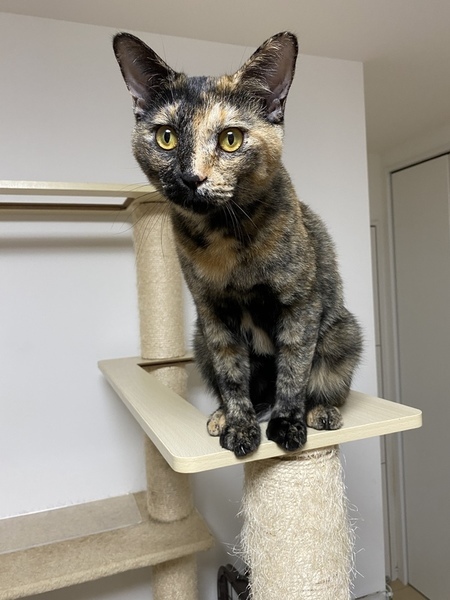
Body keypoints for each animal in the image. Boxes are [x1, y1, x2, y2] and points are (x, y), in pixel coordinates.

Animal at [113, 31, 363, 457]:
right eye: (166, 137)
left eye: (231, 139)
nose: (190, 177)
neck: (225, 239)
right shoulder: (212, 314)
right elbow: (231, 375)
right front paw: (241, 426)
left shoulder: (299, 305)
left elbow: (293, 370)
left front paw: (288, 425)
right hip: (199, 339)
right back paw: (221, 416)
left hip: (342, 333)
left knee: (326, 384)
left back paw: (321, 412)